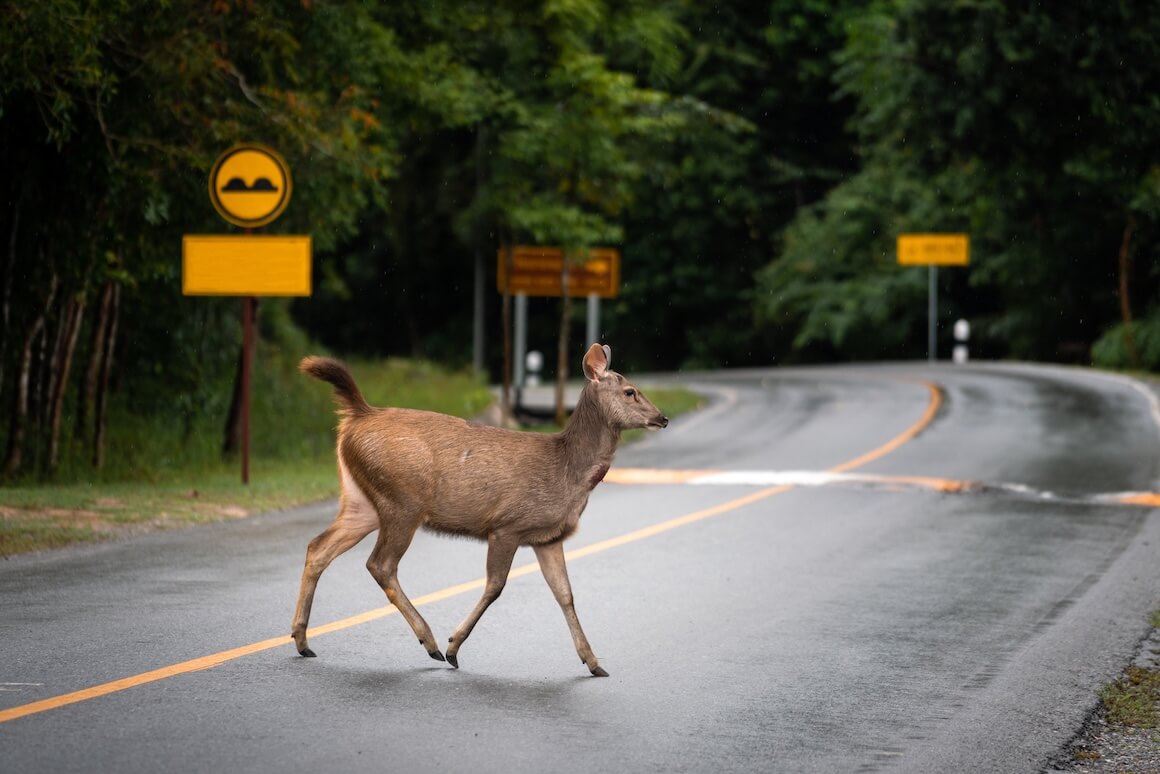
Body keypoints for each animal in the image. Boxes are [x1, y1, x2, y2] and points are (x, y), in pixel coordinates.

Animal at [292, 345, 672, 677]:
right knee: (380, 564)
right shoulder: (507, 525)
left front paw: (593, 663)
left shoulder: (547, 537)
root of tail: (359, 415)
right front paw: (453, 648)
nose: (662, 418)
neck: (567, 472)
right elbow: (495, 586)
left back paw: (302, 640)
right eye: (630, 391)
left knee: (318, 547)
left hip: (363, 502)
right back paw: (430, 643)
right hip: (403, 501)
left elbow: (565, 594)